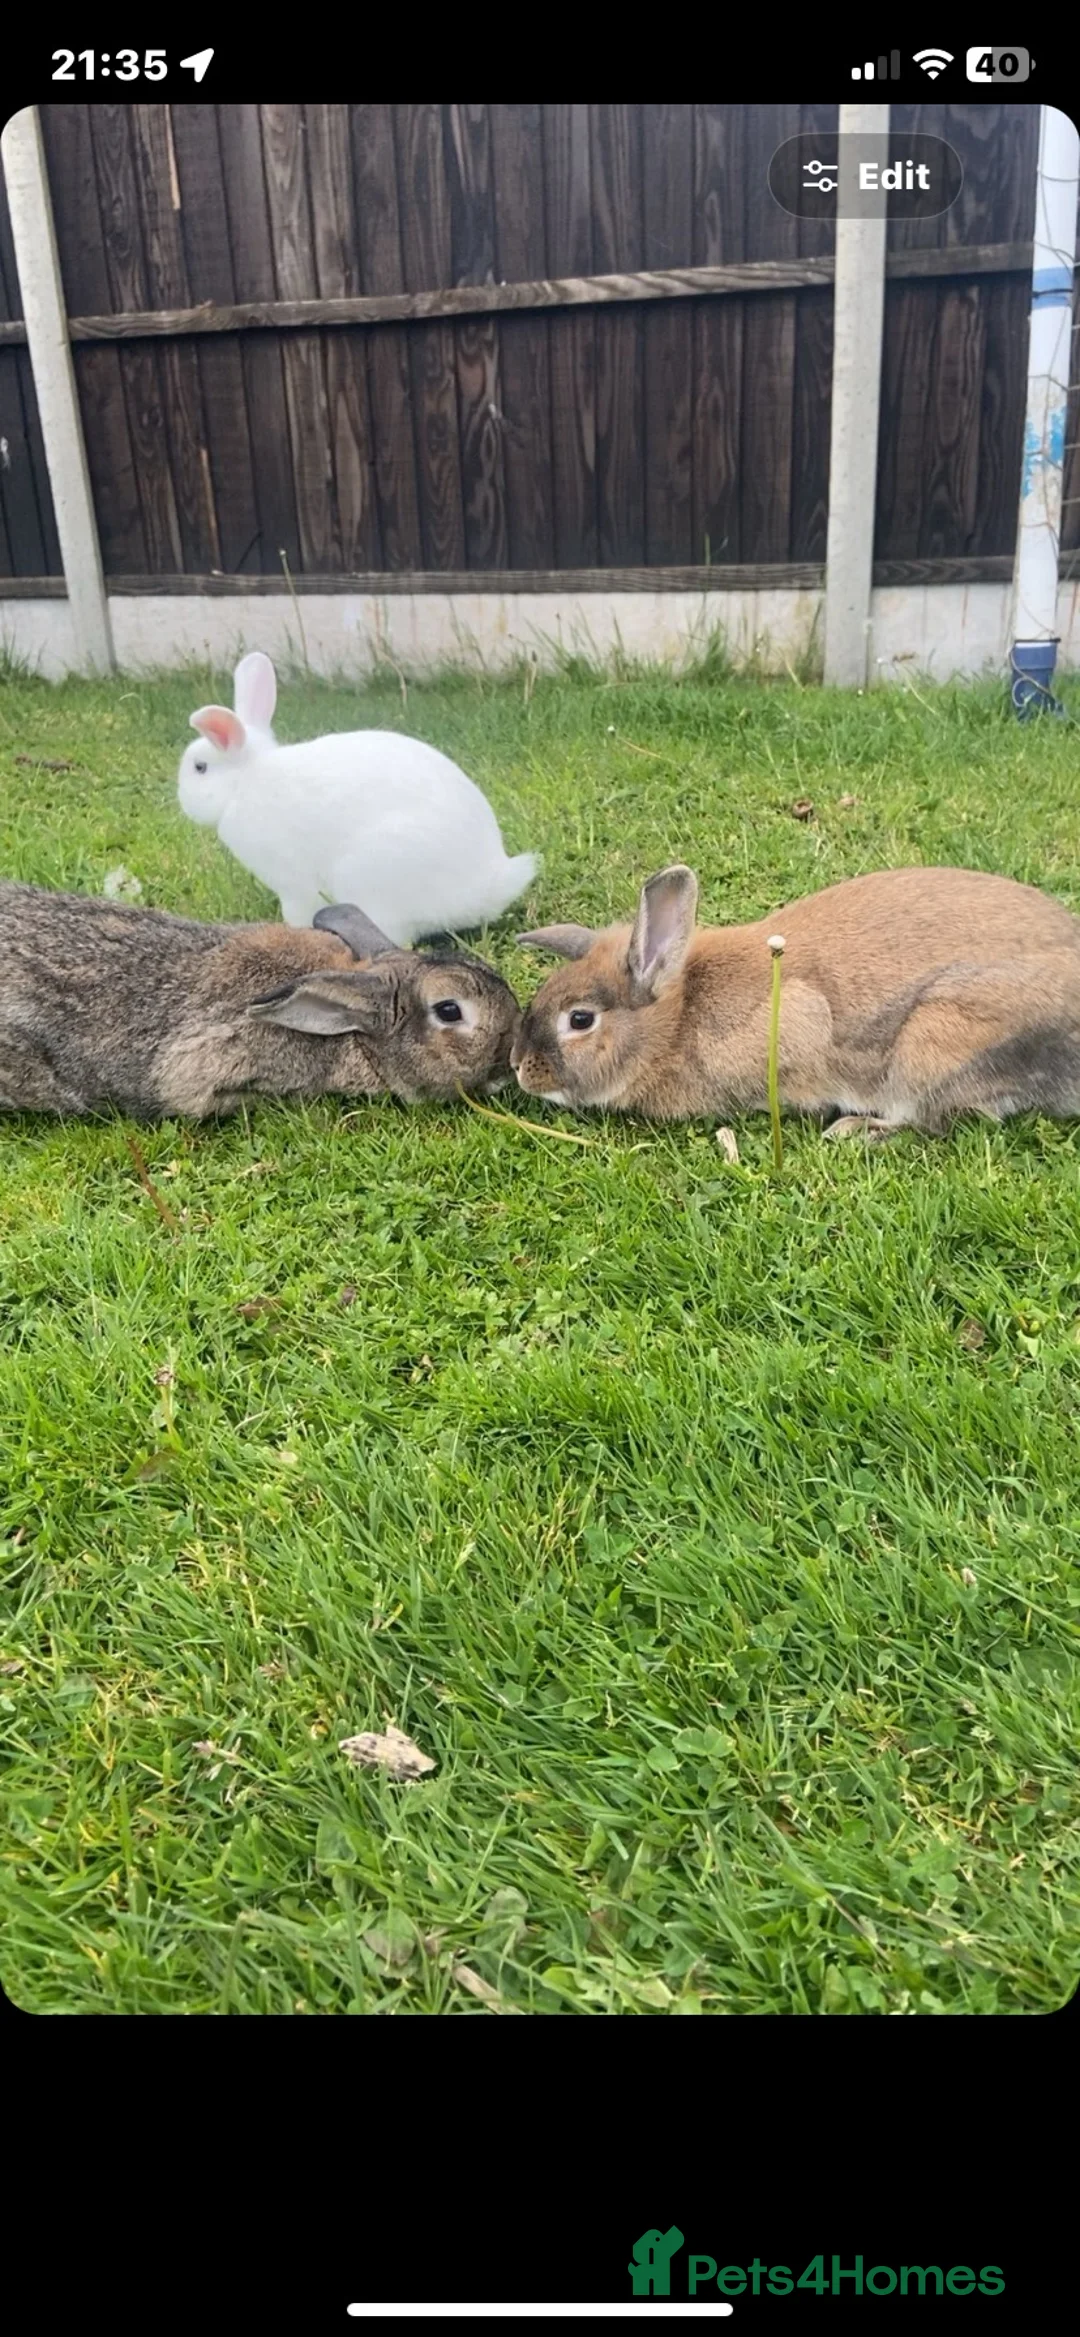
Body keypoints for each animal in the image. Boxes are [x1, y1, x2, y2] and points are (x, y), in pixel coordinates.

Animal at [177, 650, 539, 946]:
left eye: (199, 767)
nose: (181, 797)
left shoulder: (293, 884)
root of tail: (485, 888)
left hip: (368, 875)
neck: (245, 780)